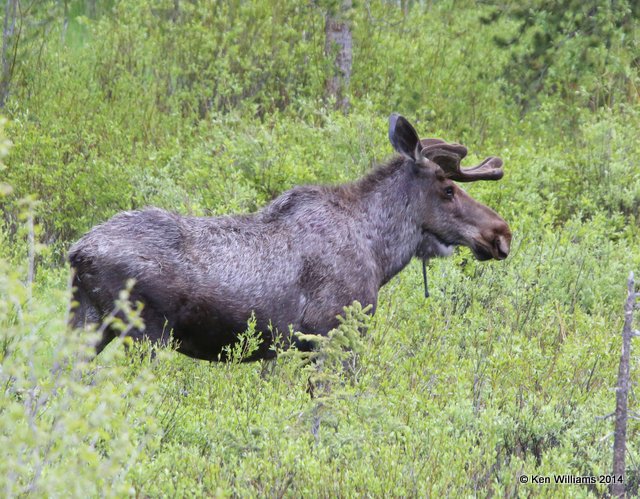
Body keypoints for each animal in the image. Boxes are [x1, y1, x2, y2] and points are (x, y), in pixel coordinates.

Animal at [69, 115, 510, 362]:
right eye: (447, 189)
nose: (501, 233)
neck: (380, 252)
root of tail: (76, 253)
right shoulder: (334, 334)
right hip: (144, 334)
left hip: (86, 322)